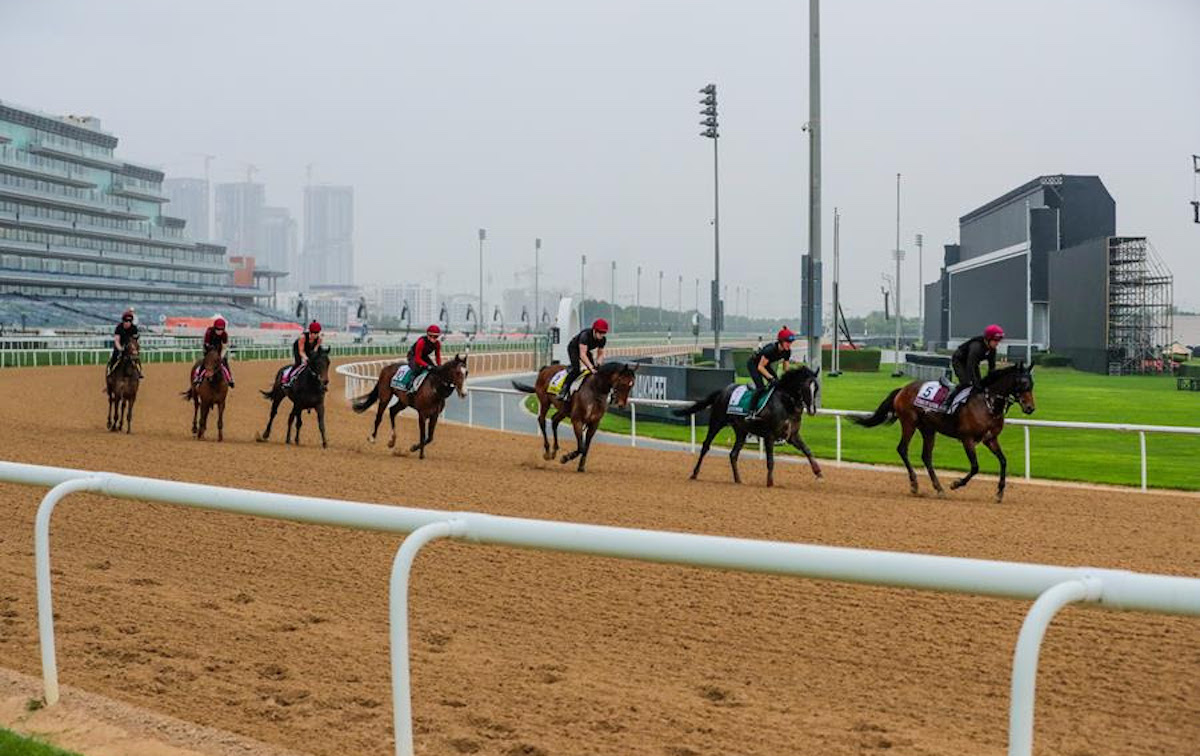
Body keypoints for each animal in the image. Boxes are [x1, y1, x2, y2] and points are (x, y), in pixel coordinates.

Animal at [676, 369, 825, 489]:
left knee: (733, 454)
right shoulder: (770, 436)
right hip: (717, 422)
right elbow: (770, 460)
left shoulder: (792, 435)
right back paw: (694, 474)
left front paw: (818, 471)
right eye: (806, 387)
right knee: (706, 446)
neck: (785, 403)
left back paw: (738, 479)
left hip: (741, 431)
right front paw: (770, 482)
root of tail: (723, 390)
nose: (812, 410)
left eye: (816, 388)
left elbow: (807, 450)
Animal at [849, 362, 1036, 504]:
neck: (987, 404)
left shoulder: (990, 439)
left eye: (1032, 384)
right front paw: (956, 483)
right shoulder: (967, 439)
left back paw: (938, 488)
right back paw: (915, 484)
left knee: (926, 456)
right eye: (1022, 383)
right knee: (902, 449)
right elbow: (975, 467)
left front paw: (999, 493)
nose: (1030, 408)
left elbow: (1003, 461)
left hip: (928, 429)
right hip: (909, 422)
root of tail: (903, 389)